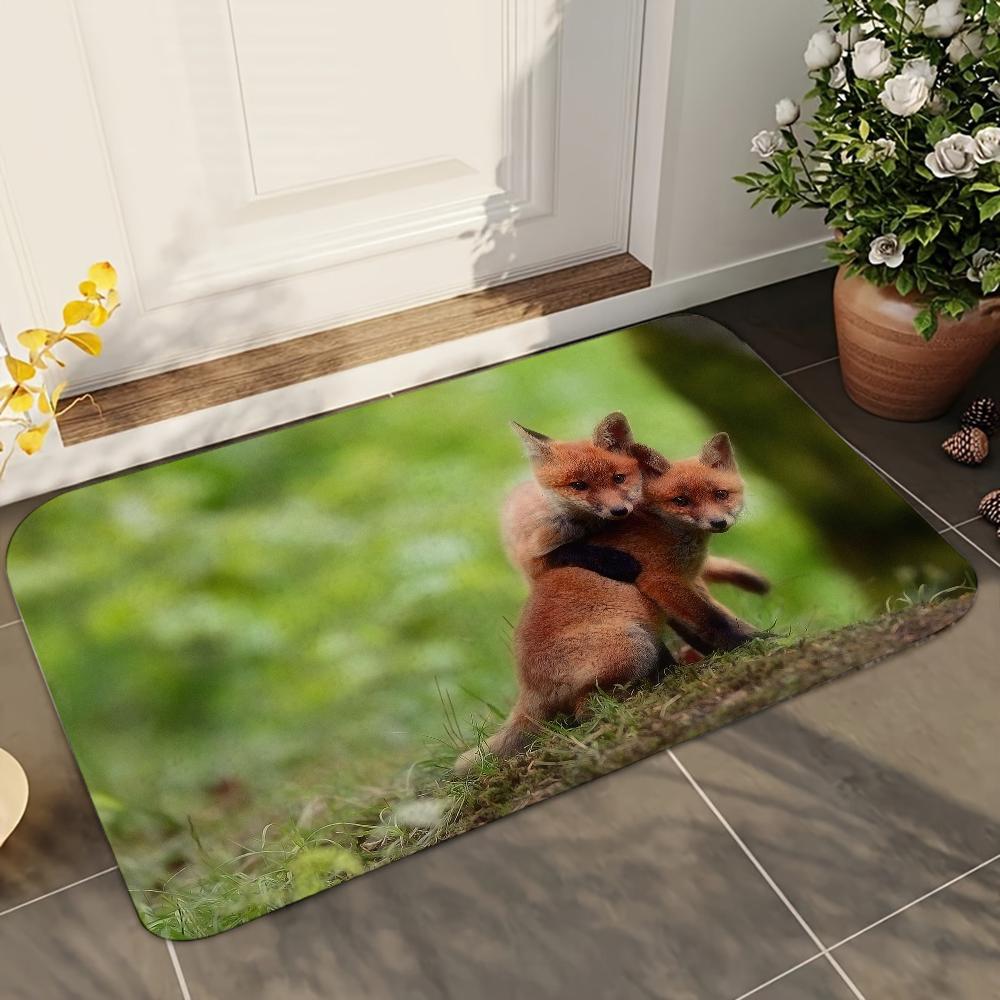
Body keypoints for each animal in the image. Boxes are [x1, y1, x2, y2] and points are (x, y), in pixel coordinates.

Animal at [455, 431, 769, 774]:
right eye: (681, 501)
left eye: (720, 494)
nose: (718, 522)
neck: (664, 528)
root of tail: (527, 685)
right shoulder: (663, 582)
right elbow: (713, 620)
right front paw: (747, 642)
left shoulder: (684, 587)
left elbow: (705, 625)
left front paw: (741, 644)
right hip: (635, 644)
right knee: (584, 712)